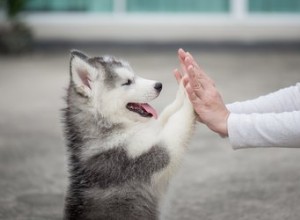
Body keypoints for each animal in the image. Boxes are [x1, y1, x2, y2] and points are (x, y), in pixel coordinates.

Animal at [62, 50, 196, 220]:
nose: (159, 85)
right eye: (127, 82)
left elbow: (167, 115)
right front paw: (191, 91)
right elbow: (177, 122)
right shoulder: (150, 156)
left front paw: (183, 88)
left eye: (134, 75)